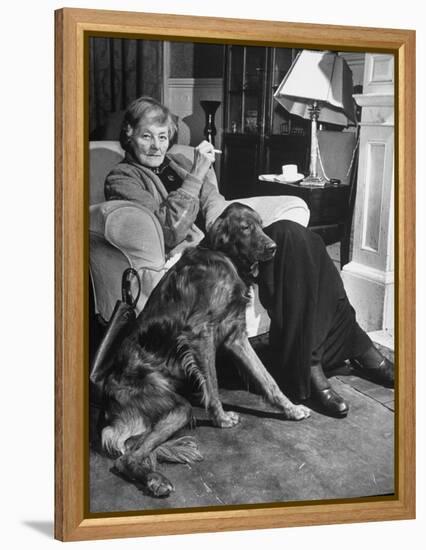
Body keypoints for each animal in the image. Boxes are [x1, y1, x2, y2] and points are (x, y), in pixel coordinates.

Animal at [100, 205, 310, 498]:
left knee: (134, 450)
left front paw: (291, 409)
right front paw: (221, 418)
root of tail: (107, 409)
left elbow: (268, 379)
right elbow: (212, 384)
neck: (225, 258)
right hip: (177, 406)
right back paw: (157, 481)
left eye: (261, 225)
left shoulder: (236, 336)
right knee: (125, 459)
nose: (272, 247)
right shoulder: (200, 334)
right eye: (245, 227)